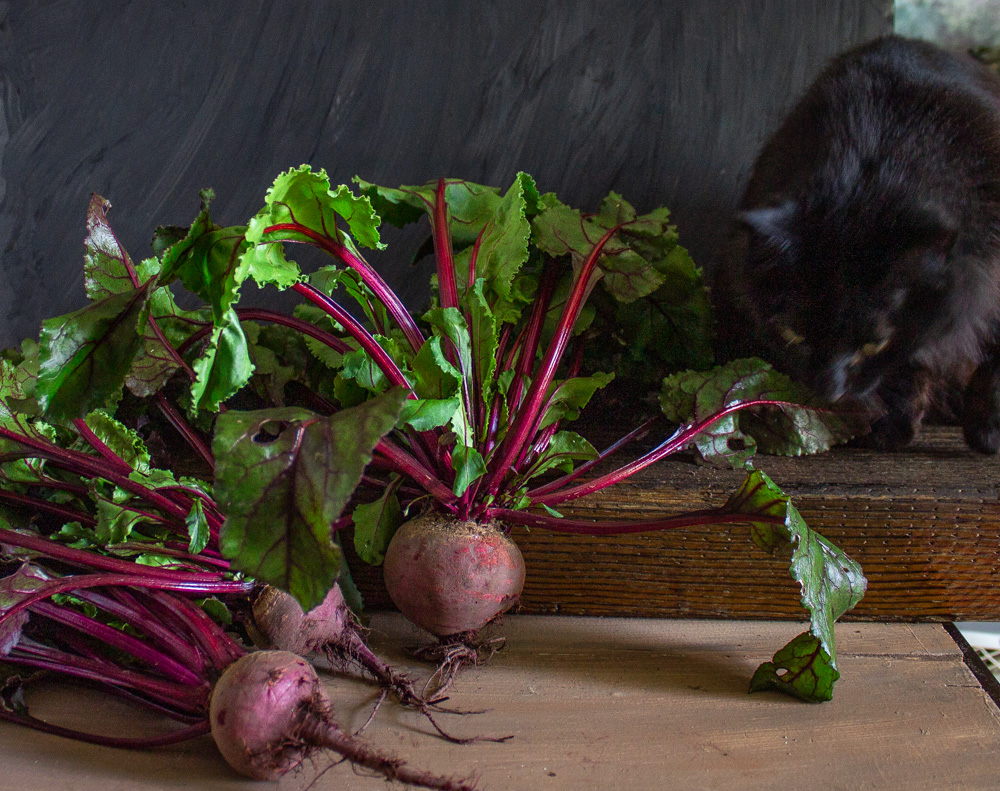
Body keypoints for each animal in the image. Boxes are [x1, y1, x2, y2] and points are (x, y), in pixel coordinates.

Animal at [716, 35, 1000, 452]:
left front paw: (987, 430)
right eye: (794, 334)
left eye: (874, 344)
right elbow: (907, 370)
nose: (827, 391)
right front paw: (892, 424)